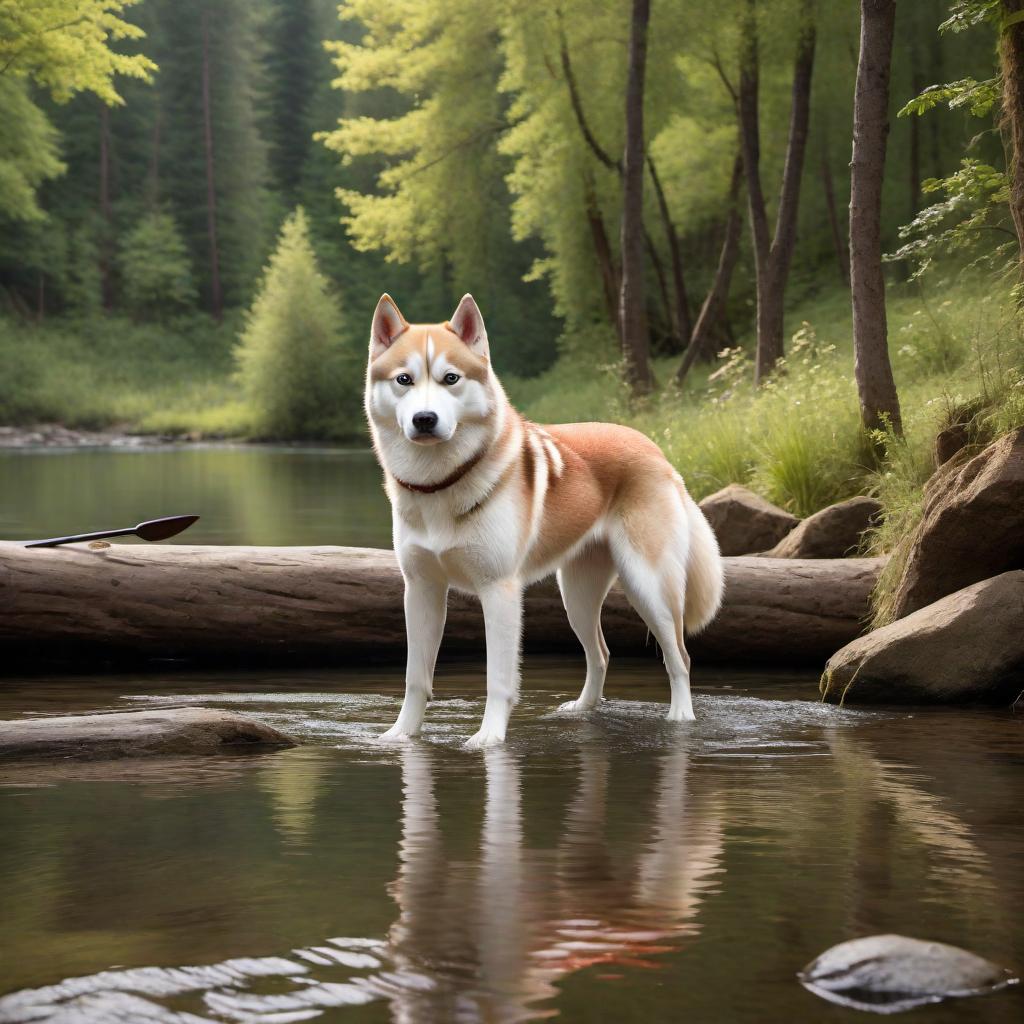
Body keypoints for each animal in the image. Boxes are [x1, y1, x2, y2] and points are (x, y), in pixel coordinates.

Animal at [364, 292, 724, 749]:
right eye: (404, 380)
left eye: (451, 378)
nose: (424, 419)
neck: (442, 482)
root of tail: (656, 450)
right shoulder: (421, 589)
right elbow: (415, 678)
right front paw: (401, 734)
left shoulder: (498, 590)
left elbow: (498, 678)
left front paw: (489, 736)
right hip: (577, 595)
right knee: (600, 653)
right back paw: (582, 710)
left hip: (650, 587)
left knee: (679, 656)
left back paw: (680, 717)